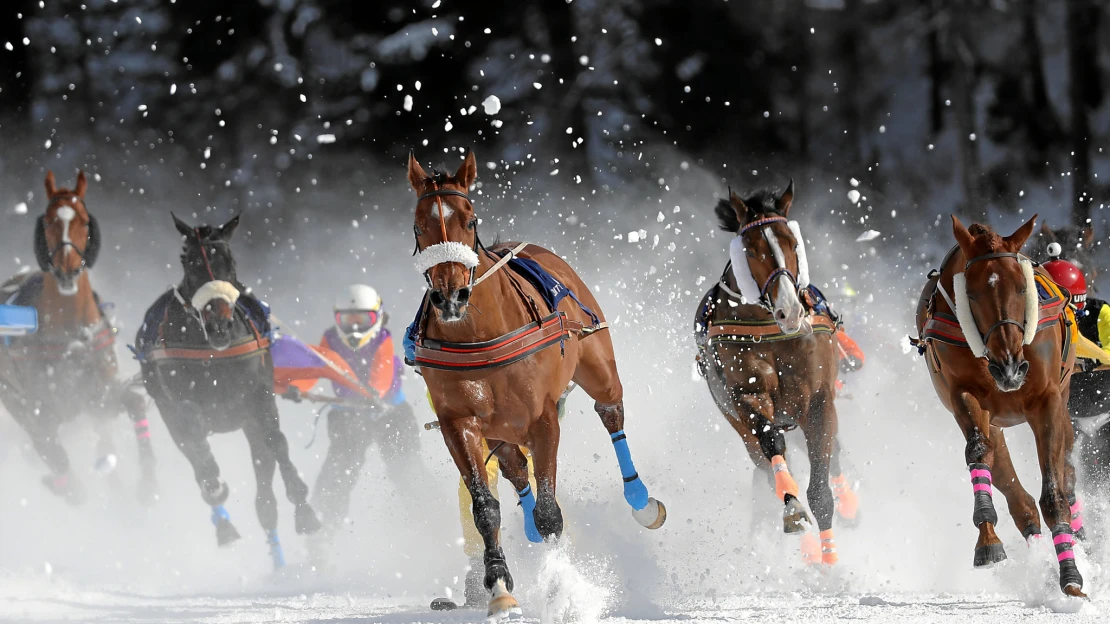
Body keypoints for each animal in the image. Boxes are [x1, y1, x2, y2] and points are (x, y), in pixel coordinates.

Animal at [0, 169, 155, 499]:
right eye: (48, 221)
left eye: (84, 221)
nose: (67, 270)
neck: (70, 336)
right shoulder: (44, 405)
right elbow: (48, 443)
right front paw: (71, 489)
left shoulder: (99, 395)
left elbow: (133, 403)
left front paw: (148, 487)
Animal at [133, 213, 321, 568]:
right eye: (189, 261)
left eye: (229, 260)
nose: (219, 324)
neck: (213, 351)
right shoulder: (177, 397)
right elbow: (195, 434)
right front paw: (215, 485)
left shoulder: (259, 395)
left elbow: (276, 441)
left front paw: (305, 510)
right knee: (196, 456)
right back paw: (222, 520)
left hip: (248, 425)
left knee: (265, 490)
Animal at [408, 147, 666, 612]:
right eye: (420, 225)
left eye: (468, 219)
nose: (451, 296)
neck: (479, 335)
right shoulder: (460, 423)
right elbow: (485, 507)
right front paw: (499, 586)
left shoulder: (542, 417)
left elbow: (550, 513)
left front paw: (567, 590)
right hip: (500, 428)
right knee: (514, 470)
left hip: (596, 360)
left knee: (611, 413)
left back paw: (641, 501)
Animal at [692, 183, 856, 564]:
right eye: (750, 249)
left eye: (792, 243)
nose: (790, 310)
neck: (771, 330)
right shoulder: (747, 396)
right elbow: (772, 444)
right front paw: (794, 511)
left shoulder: (818, 399)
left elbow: (822, 483)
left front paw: (832, 564)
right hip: (738, 423)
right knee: (766, 462)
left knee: (834, 453)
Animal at [914, 216, 1087, 595]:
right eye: (971, 294)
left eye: (1022, 289)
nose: (1010, 367)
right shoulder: (965, 395)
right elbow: (980, 453)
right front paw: (988, 540)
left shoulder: (1048, 399)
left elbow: (1056, 492)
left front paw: (1071, 578)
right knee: (1016, 493)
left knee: (1067, 471)